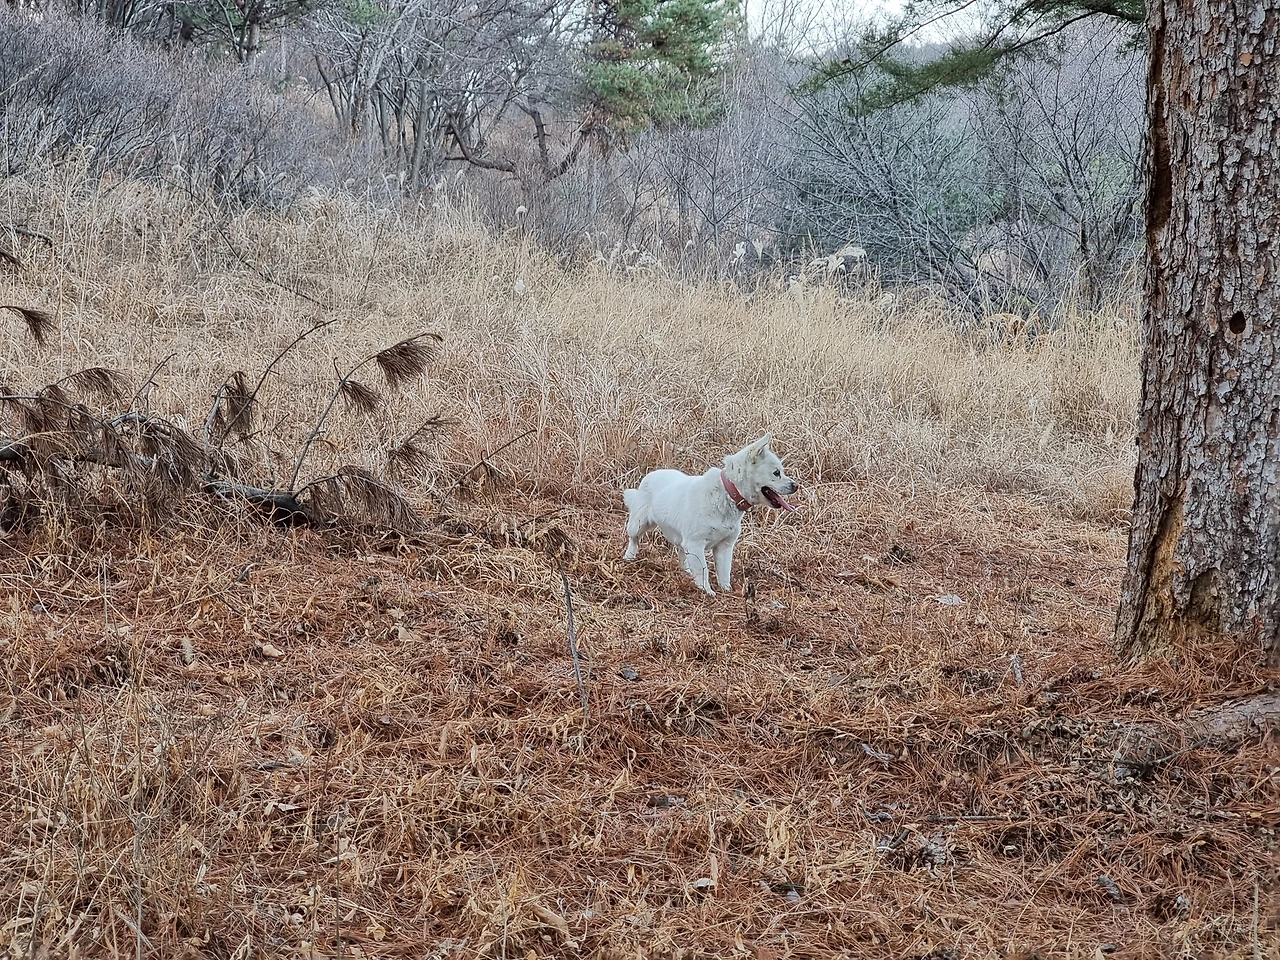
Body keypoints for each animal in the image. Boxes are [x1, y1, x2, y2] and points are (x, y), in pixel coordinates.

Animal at [623, 435, 798, 595]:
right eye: (776, 473)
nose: (796, 485)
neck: (727, 493)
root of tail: (652, 474)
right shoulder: (696, 544)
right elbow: (703, 570)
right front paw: (706, 591)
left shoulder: (724, 547)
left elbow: (724, 572)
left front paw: (726, 590)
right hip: (638, 524)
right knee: (634, 540)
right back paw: (629, 556)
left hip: (680, 537)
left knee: (681, 552)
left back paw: (686, 571)